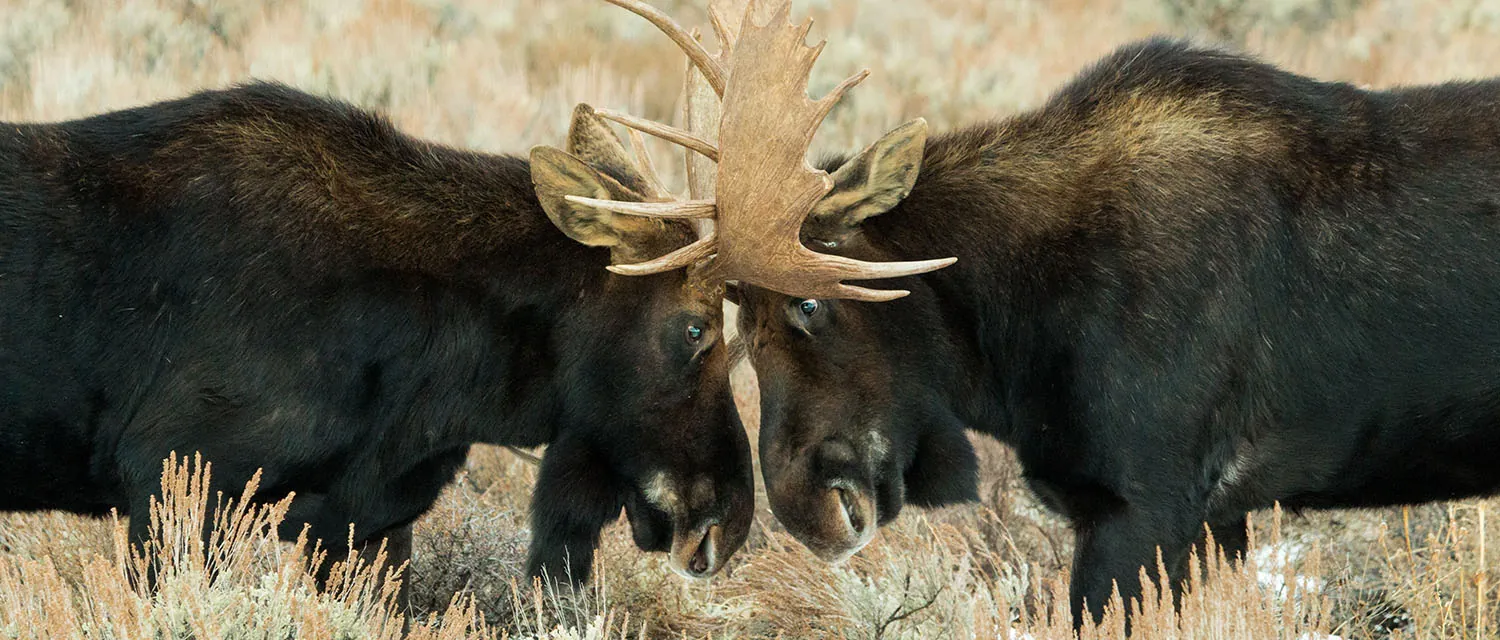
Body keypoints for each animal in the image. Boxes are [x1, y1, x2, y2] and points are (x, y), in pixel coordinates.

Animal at [579, 0, 1500, 629]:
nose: (806, 507)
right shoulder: (1216, 517)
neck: (1013, 341)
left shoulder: (1144, 505)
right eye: (738, 324)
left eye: (811, 301)